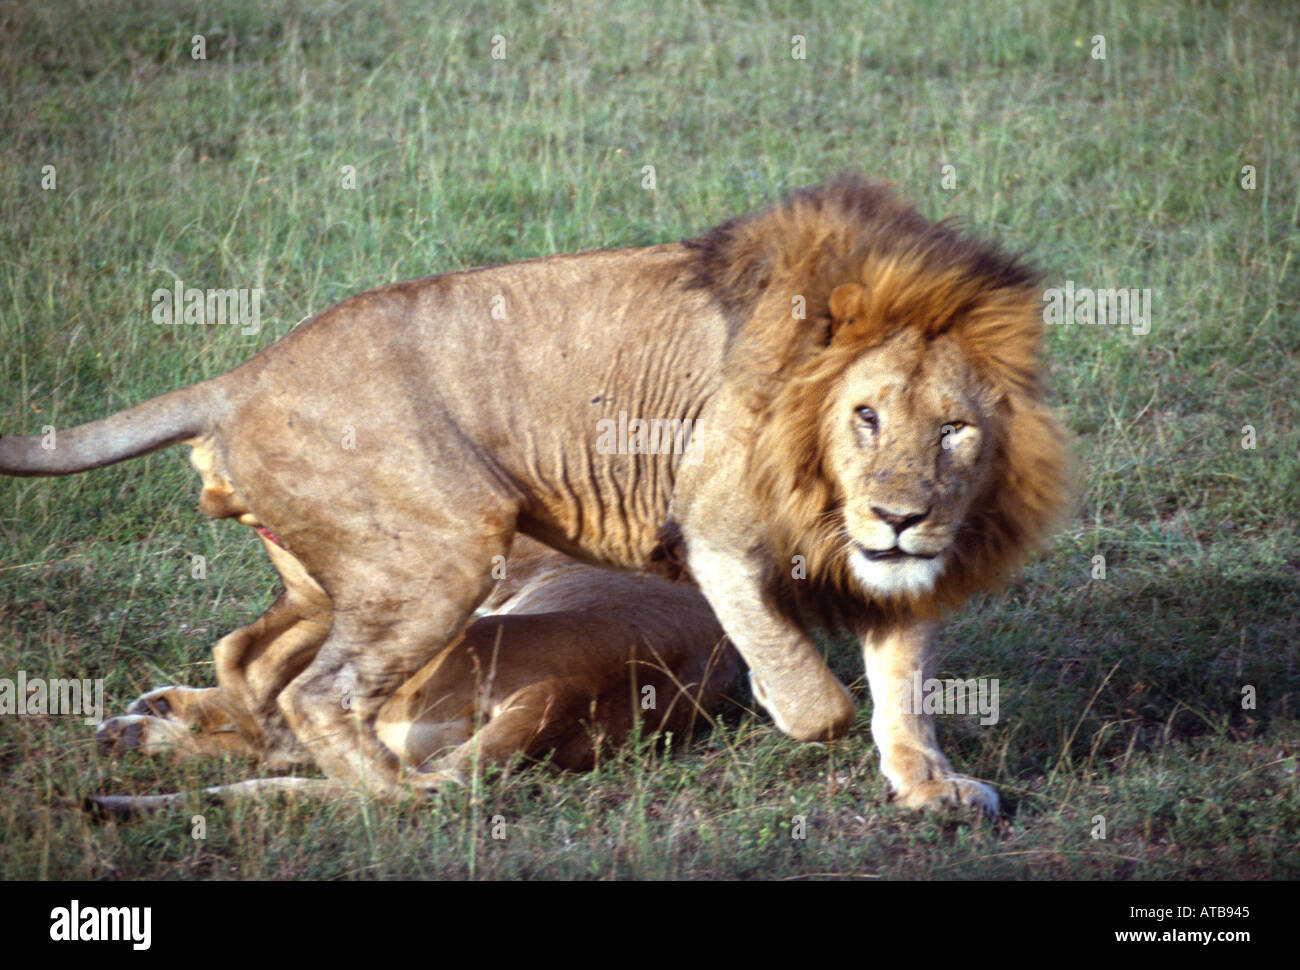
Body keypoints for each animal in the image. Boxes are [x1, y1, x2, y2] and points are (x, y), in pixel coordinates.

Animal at [0, 176, 1069, 814]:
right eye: (866, 417)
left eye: (954, 428)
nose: (900, 517)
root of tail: (241, 377)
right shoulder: (715, 531)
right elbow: (826, 703)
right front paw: (787, 698)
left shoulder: (913, 567)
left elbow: (903, 685)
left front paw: (930, 788)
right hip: (446, 550)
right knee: (317, 699)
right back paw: (392, 800)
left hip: (336, 575)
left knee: (255, 670)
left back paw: (164, 732)